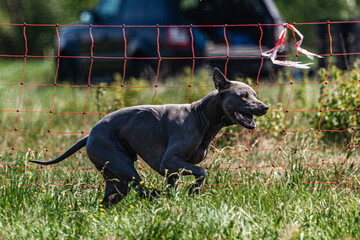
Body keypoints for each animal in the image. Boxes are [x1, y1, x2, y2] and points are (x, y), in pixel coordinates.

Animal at [30, 68, 268, 206]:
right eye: (243, 96)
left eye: (255, 95)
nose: (265, 107)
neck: (201, 117)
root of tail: (89, 134)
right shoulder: (169, 161)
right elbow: (202, 171)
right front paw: (194, 190)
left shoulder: (174, 171)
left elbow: (179, 185)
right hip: (123, 164)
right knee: (140, 186)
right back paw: (154, 194)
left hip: (115, 179)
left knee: (111, 199)